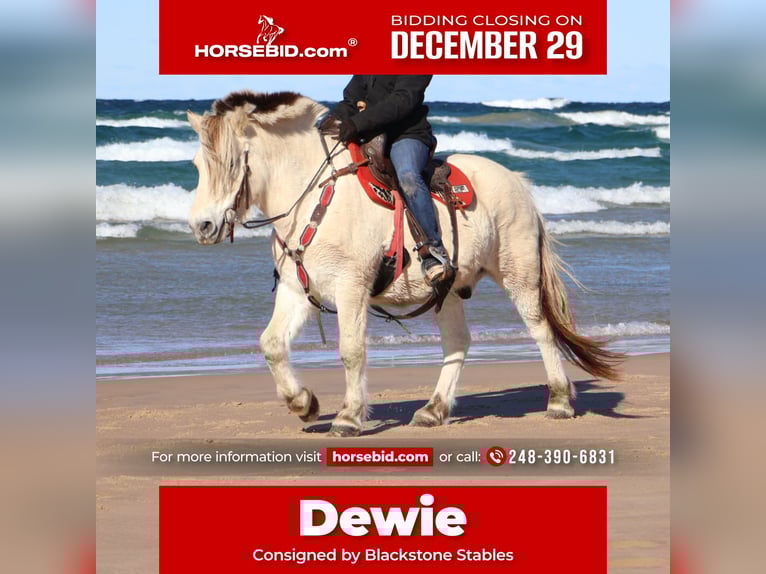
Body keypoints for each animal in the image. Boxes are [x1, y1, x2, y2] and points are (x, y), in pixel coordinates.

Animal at [186, 90, 623, 437]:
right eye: (196, 165)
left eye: (230, 163)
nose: (202, 226)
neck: (316, 196)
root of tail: (518, 181)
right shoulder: (297, 288)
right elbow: (272, 344)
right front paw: (303, 403)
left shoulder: (351, 287)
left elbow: (351, 350)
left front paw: (348, 417)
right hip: (448, 289)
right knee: (458, 343)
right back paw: (433, 410)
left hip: (519, 275)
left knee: (542, 331)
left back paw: (560, 401)